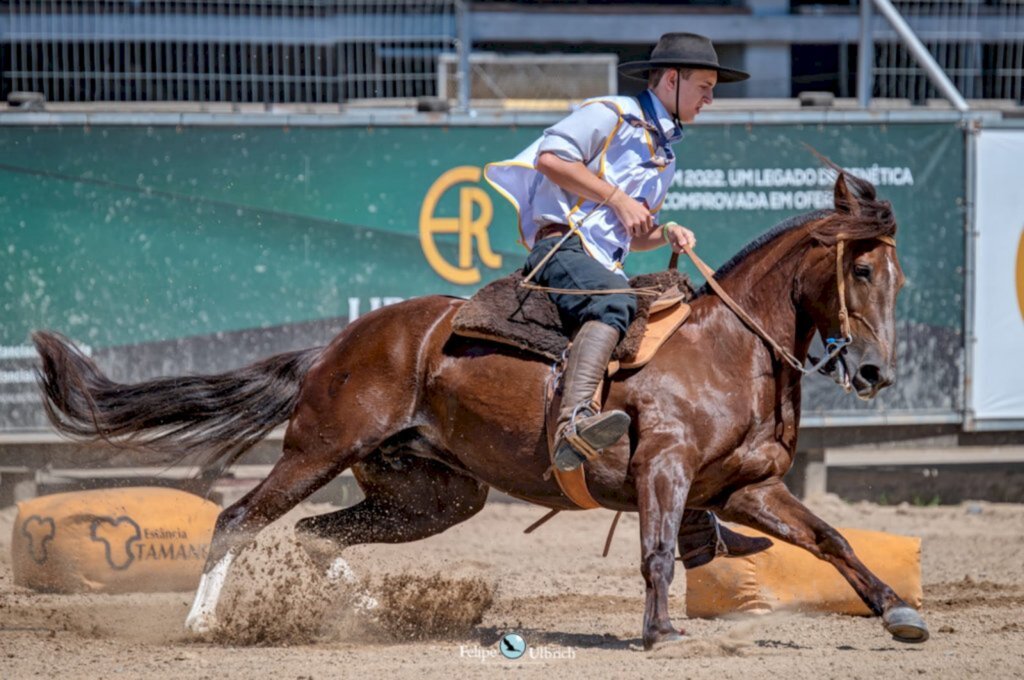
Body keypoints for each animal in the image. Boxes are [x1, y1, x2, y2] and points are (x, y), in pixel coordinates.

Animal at [34, 170, 929, 647]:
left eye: (898, 277)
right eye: (859, 271)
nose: (876, 371)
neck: (726, 349)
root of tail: (333, 347)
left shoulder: (746, 487)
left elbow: (832, 539)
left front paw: (898, 612)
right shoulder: (664, 470)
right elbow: (657, 555)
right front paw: (660, 632)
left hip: (433, 494)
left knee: (318, 537)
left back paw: (359, 612)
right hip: (316, 452)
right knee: (238, 519)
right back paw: (201, 624)